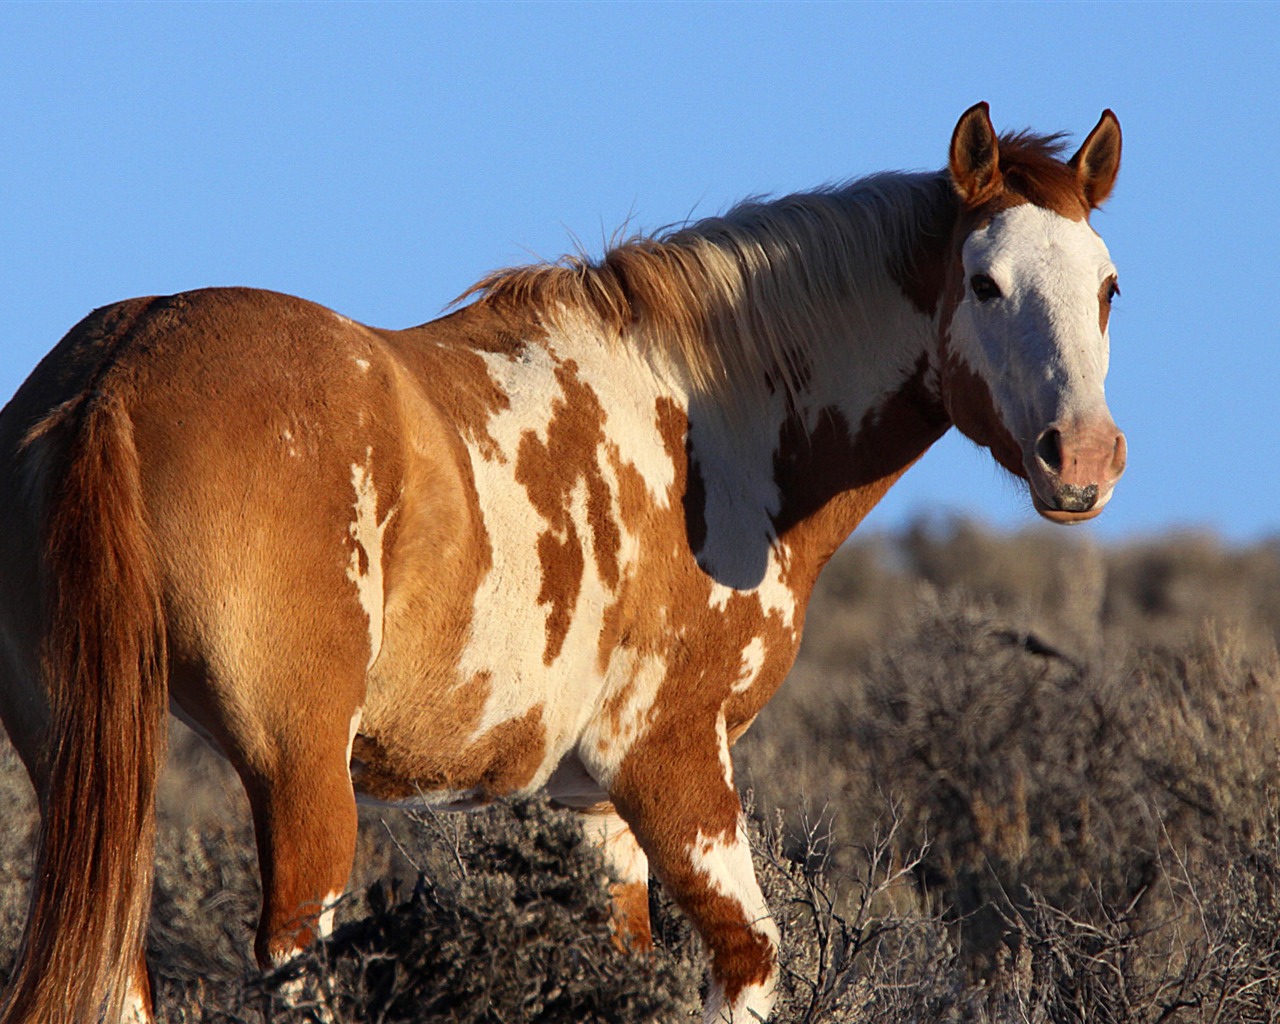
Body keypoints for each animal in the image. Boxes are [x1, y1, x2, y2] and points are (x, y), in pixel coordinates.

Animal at [0, 106, 1121, 1024]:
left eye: (1108, 287)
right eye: (983, 282)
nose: (1082, 459)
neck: (710, 422)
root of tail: (117, 377)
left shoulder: (590, 806)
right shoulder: (672, 762)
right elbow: (749, 966)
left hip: (87, 768)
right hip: (297, 770)